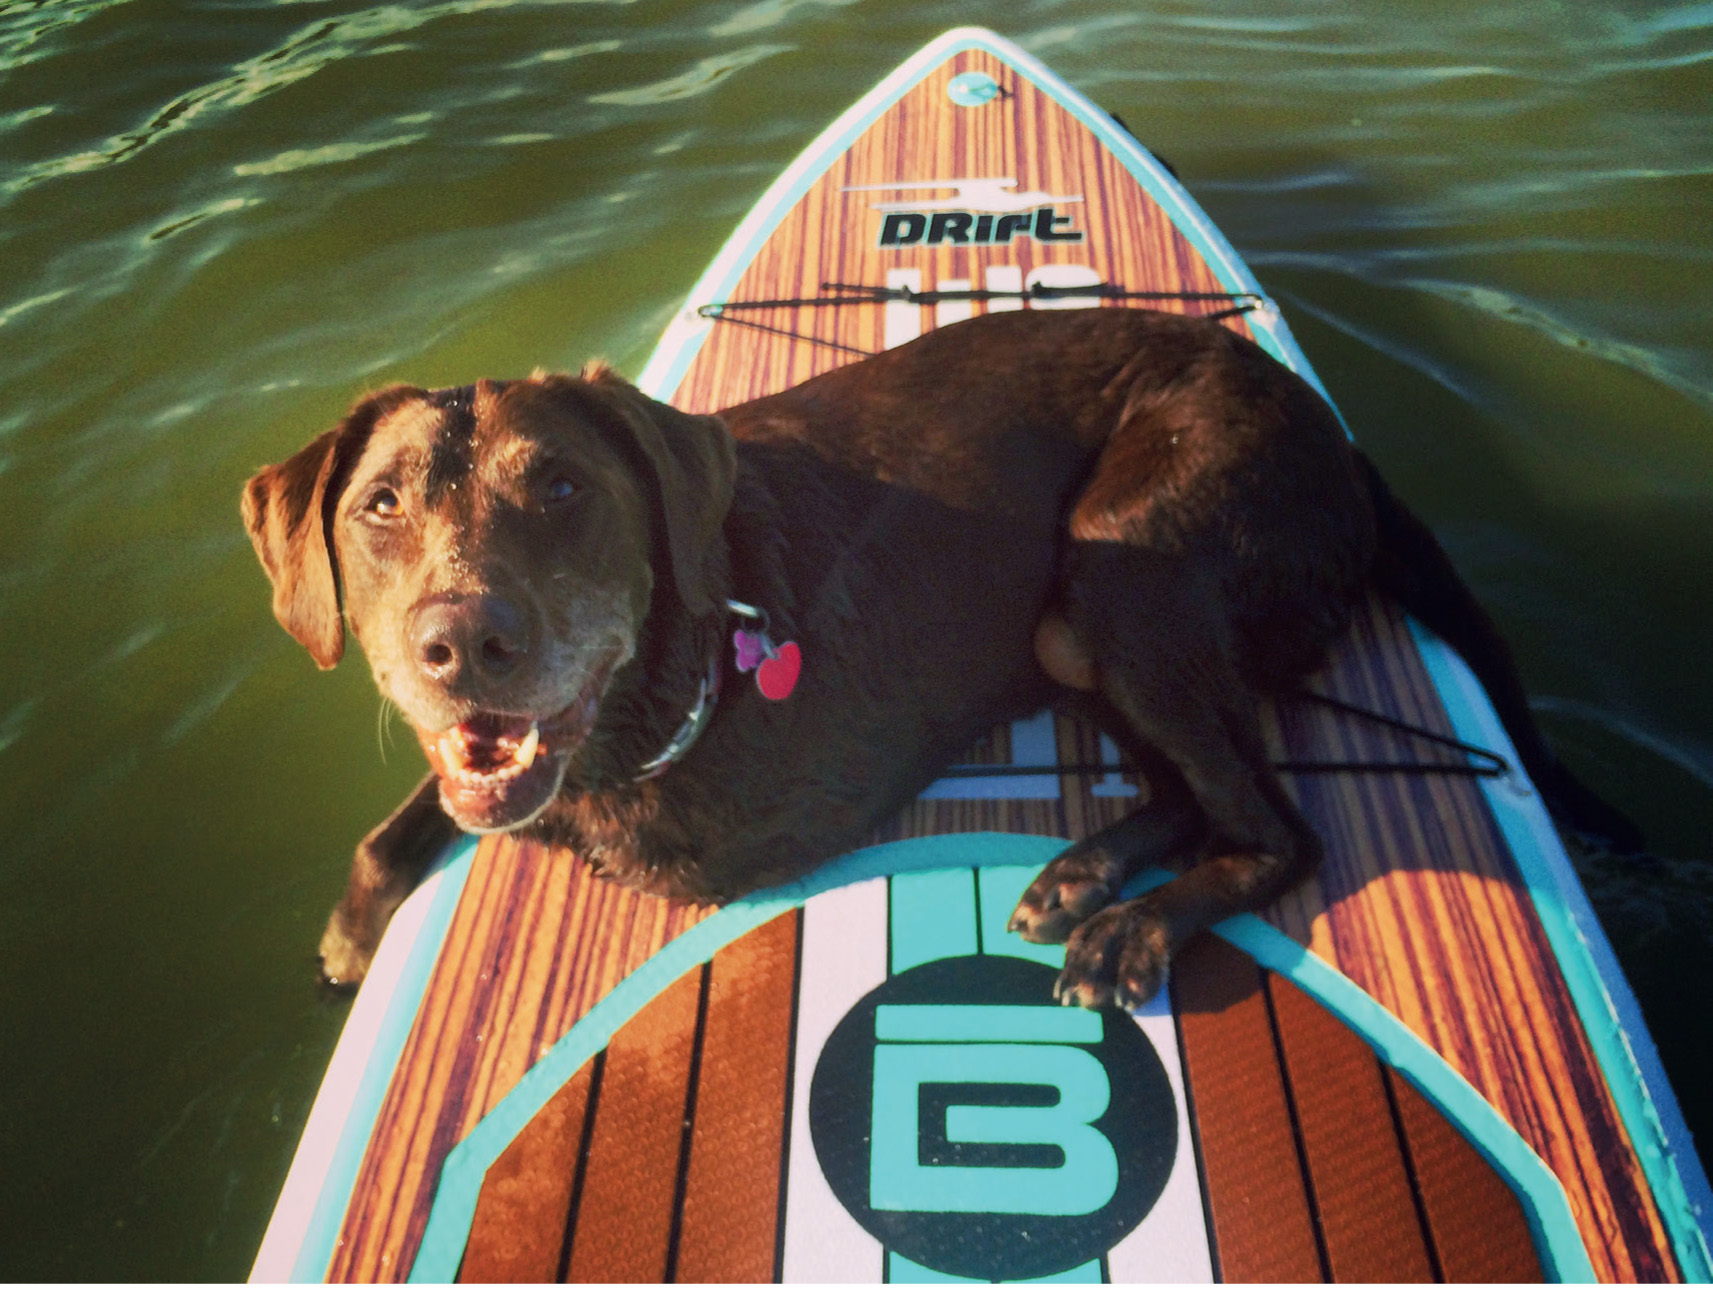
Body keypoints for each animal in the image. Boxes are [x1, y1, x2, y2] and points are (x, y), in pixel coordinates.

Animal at [241, 306, 1630, 1000]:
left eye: (565, 488)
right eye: (379, 507)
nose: (463, 642)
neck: (687, 664)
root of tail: (1338, 440)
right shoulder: (494, 769)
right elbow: (417, 812)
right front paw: (355, 928)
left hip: (1118, 574)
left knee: (1281, 828)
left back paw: (1132, 927)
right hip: (1081, 633)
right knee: (1198, 786)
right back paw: (1081, 874)